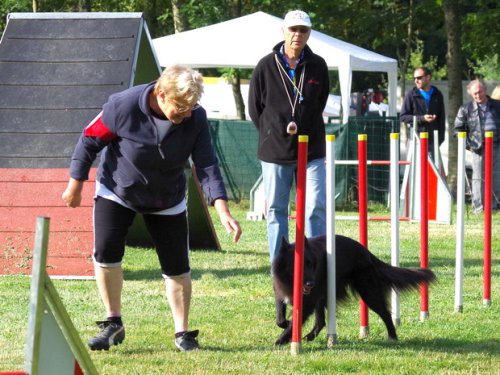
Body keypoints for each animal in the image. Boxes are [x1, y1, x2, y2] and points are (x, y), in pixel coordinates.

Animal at [272, 235, 436, 346]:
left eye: (312, 265)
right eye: (301, 265)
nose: (311, 283)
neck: (288, 279)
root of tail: (365, 251)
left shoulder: (307, 302)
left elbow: (294, 322)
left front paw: (280, 340)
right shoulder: (280, 293)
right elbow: (280, 319)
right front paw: (285, 325)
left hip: (369, 293)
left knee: (386, 314)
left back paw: (393, 337)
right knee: (321, 321)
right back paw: (309, 337)